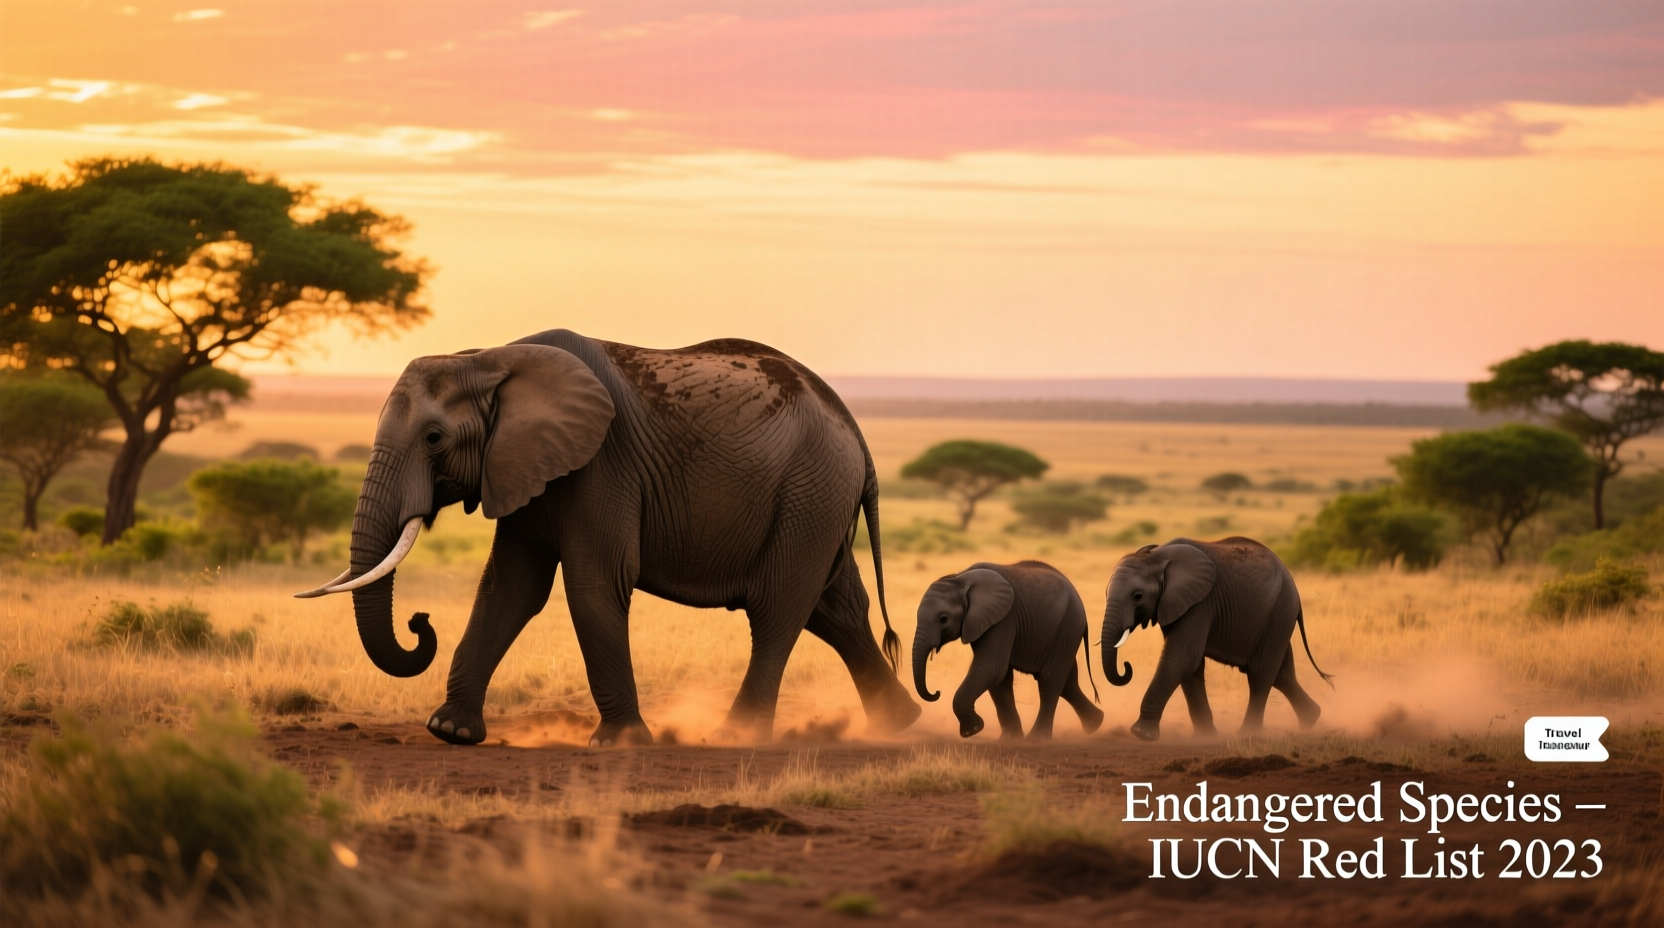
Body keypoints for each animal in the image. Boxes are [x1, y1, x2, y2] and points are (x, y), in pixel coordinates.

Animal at [295, 329, 921, 746]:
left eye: (433, 438)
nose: (419, 621)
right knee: (835, 609)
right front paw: (451, 731)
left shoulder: (602, 464)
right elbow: (509, 589)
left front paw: (620, 744)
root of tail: (855, 430)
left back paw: (737, 736)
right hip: (818, 500)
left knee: (778, 608)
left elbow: (595, 585)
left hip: (810, 491)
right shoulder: (525, 468)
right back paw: (899, 724)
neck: (491, 357)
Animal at [912, 561, 1104, 740]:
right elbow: (999, 679)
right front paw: (1009, 738)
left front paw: (972, 730)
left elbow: (991, 669)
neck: (959, 579)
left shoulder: (1003, 620)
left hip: (1067, 627)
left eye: (943, 619)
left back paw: (1036, 739)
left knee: (1050, 681)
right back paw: (1095, 724)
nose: (937, 692)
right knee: (1067, 683)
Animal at [1100, 537, 1333, 741]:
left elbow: (1181, 658)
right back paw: (1312, 720)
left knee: (1260, 673)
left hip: (1280, 611)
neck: (1157, 556)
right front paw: (1205, 736)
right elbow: (1190, 665)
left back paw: (1247, 735)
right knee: (1281, 675)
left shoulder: (1200, 604)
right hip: (1276, 618)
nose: (1126, 666)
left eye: (1137, 596)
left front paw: (1142, 734)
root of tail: (1291, 580)